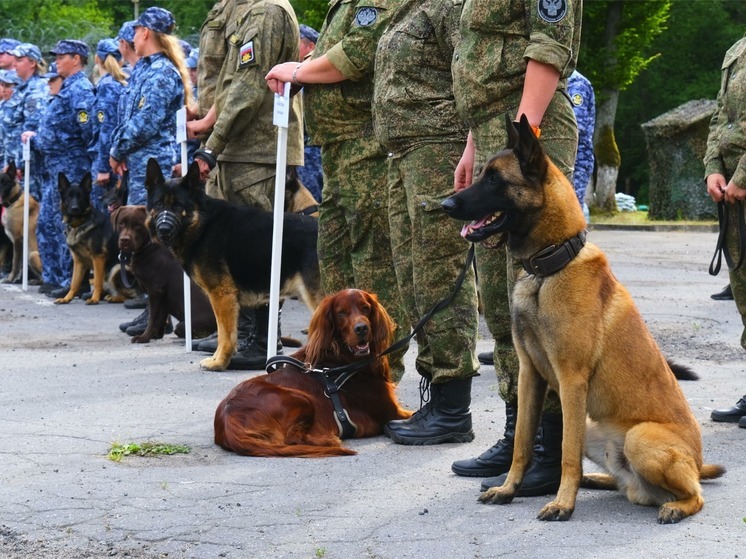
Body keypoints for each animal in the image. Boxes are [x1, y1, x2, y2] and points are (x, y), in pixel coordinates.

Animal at [56, 173, 120, 306]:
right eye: (69, 197)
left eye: (81, 197)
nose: (74, 208)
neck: (79, 224)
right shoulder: (78, 261)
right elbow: (74, 283)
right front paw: (66, 298)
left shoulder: (98, 257)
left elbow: (97, 282)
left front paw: (95, 298)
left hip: (116, 268)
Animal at [214, 290, 412, 458]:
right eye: (341, 312)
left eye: (366, 307)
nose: (361, 328)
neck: (342, 359)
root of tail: (227, 421)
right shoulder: (392, 413)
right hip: (300, 399)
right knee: (293, 437)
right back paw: (328, 440)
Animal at [442, 115, 720, 524]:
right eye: (481, 174)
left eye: (494, 179)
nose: (444, 203)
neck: (548, 266)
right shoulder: (530, 376)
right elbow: (523, 443)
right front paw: (509, 489)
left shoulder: (571, 381)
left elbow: (566, 454)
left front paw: (563, 503)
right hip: (593, 429)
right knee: (623, 484)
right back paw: (599, 481)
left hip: (639, 437)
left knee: (696, 495)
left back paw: (672, 506)